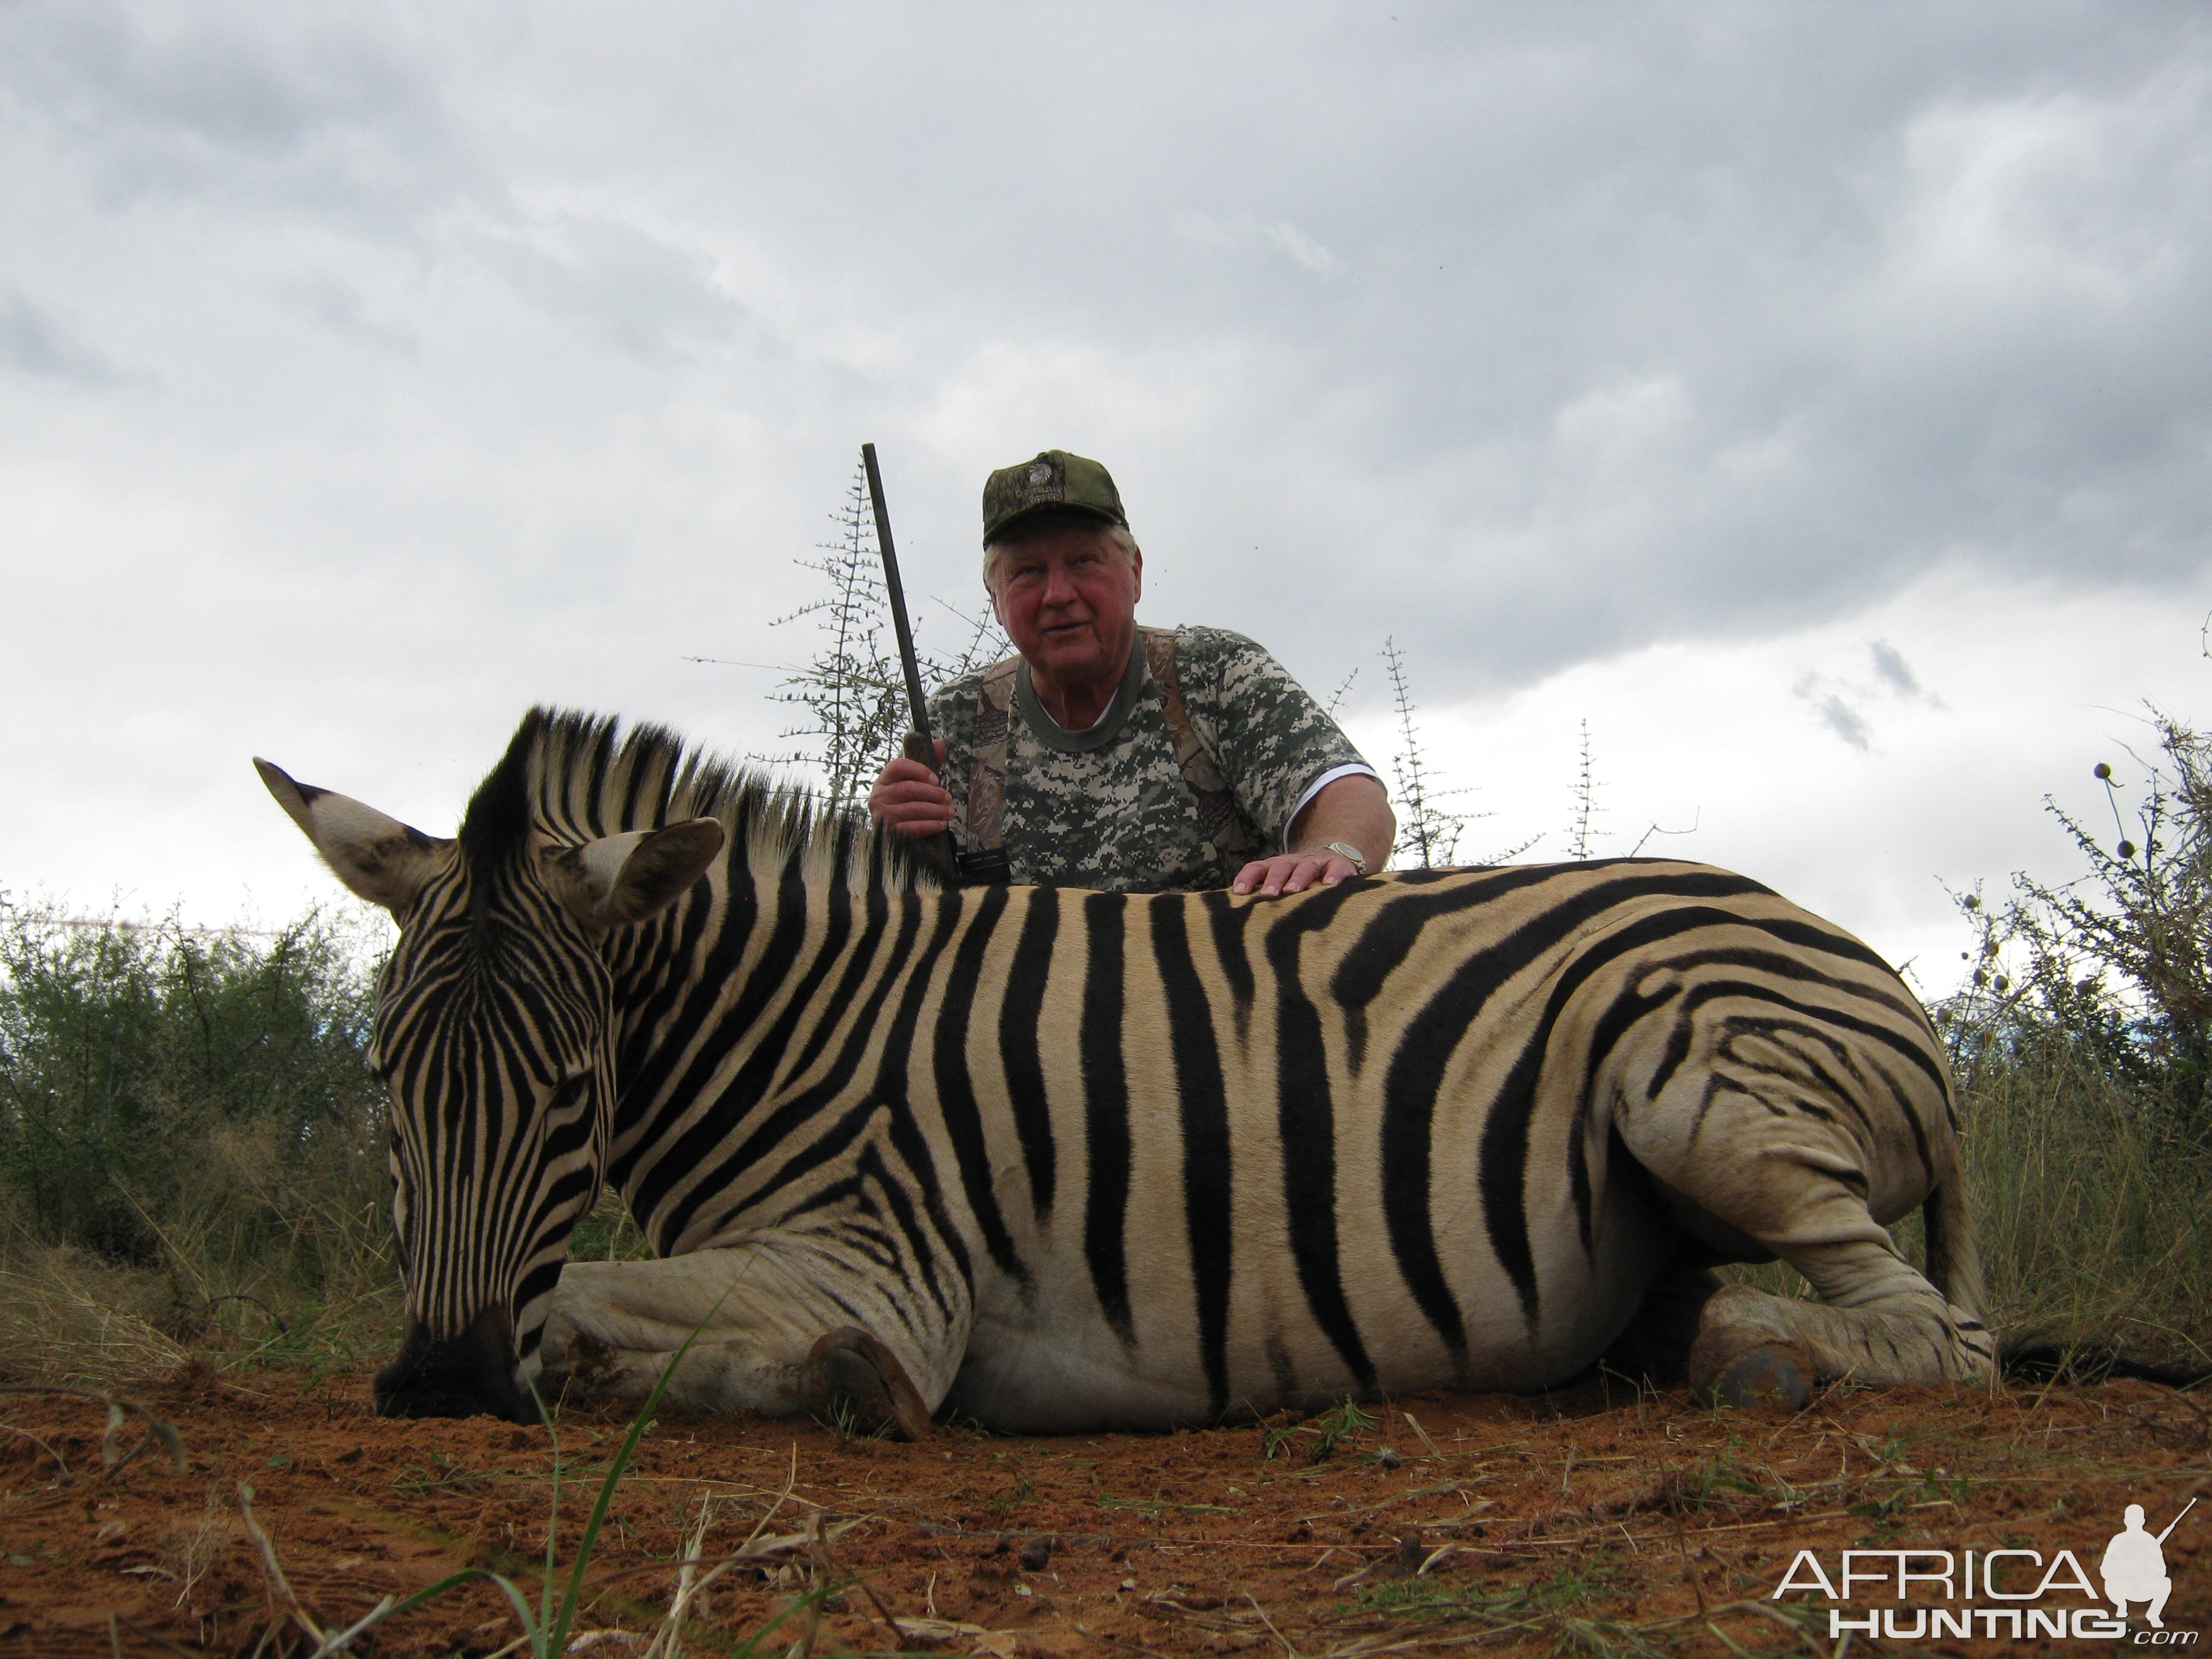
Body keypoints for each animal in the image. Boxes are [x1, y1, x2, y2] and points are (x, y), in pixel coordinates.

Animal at [254, 708, 1991, 1433]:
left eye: (568, 1089)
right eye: (384, 1082)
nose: (434, 1385)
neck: (798, 1020)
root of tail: (1843, 942)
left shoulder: (884, 1264)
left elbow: (584, 1307)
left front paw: (835, 1386)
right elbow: (571, 1311)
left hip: (1695, 1085)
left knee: (1944, 1337)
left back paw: (1745, 1349)